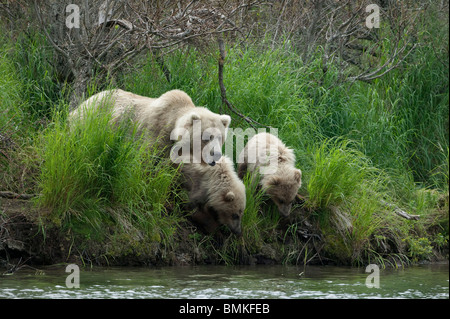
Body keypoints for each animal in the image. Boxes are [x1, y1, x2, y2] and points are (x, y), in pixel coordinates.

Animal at [71, 89, 232, 166]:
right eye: (206, 137)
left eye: (220, 137)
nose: (216, 154)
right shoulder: (155, 133)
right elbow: (145, 159)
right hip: (90, 122)